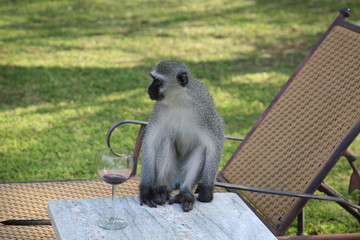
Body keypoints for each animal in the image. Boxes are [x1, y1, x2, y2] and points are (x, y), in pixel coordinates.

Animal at [139, 60, 224, 212]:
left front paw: (206, 190)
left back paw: (185, 193)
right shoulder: (158, 110)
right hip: (170, 174)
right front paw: (145, 190)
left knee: (202, 148)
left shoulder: (205, 109)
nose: (149, 88)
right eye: (153, 79)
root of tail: (176, 183)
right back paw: (160, 190)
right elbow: (150, 143)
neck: (179, 100)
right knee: (166, 140)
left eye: (157, 81)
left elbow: (215, 143)